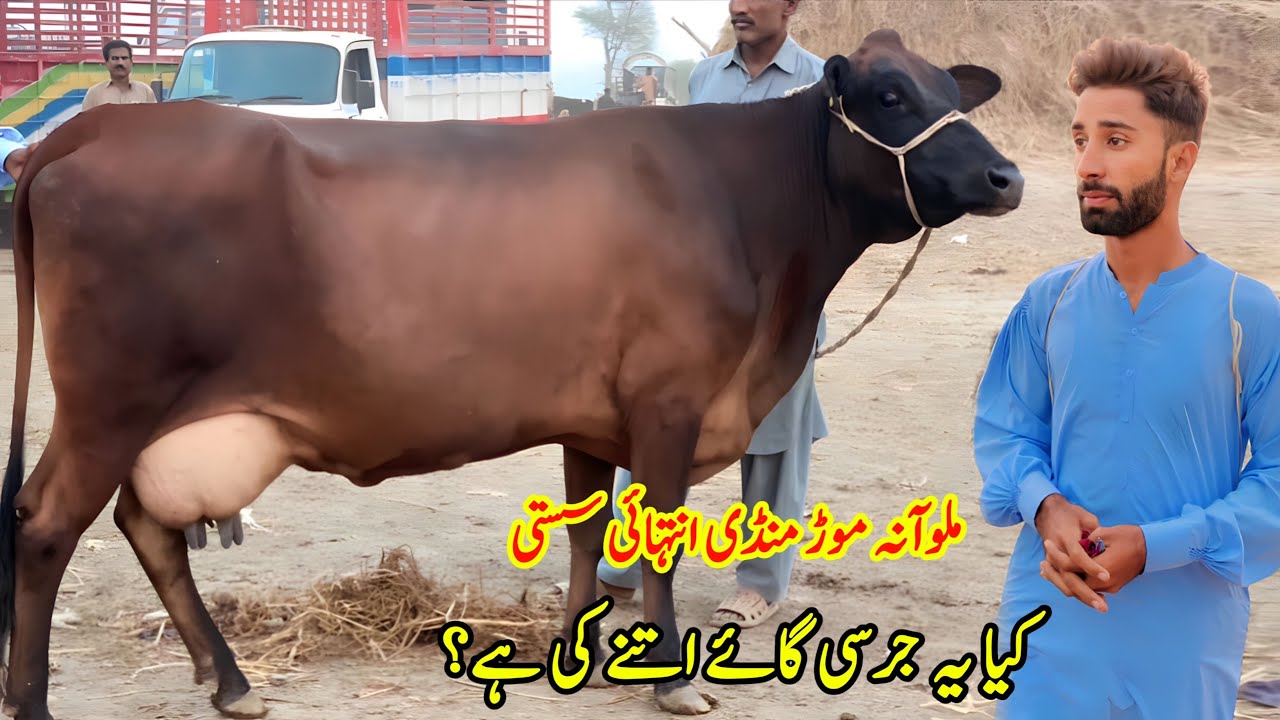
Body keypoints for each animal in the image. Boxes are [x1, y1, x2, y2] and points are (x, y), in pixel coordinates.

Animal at [0, 29, 1023, 719]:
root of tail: (98, 133)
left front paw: (577, 649)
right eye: (889, 95)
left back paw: (230, 680)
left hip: (159, 417)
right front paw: (673, 680)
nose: (1005, 178)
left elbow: (588, 534)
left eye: (952, 91)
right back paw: (36, 698)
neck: (752, 214)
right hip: (107, 403)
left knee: (146, 527)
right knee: (49, 524)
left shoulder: (594, 417)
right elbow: (653, 544)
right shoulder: (671, 401)